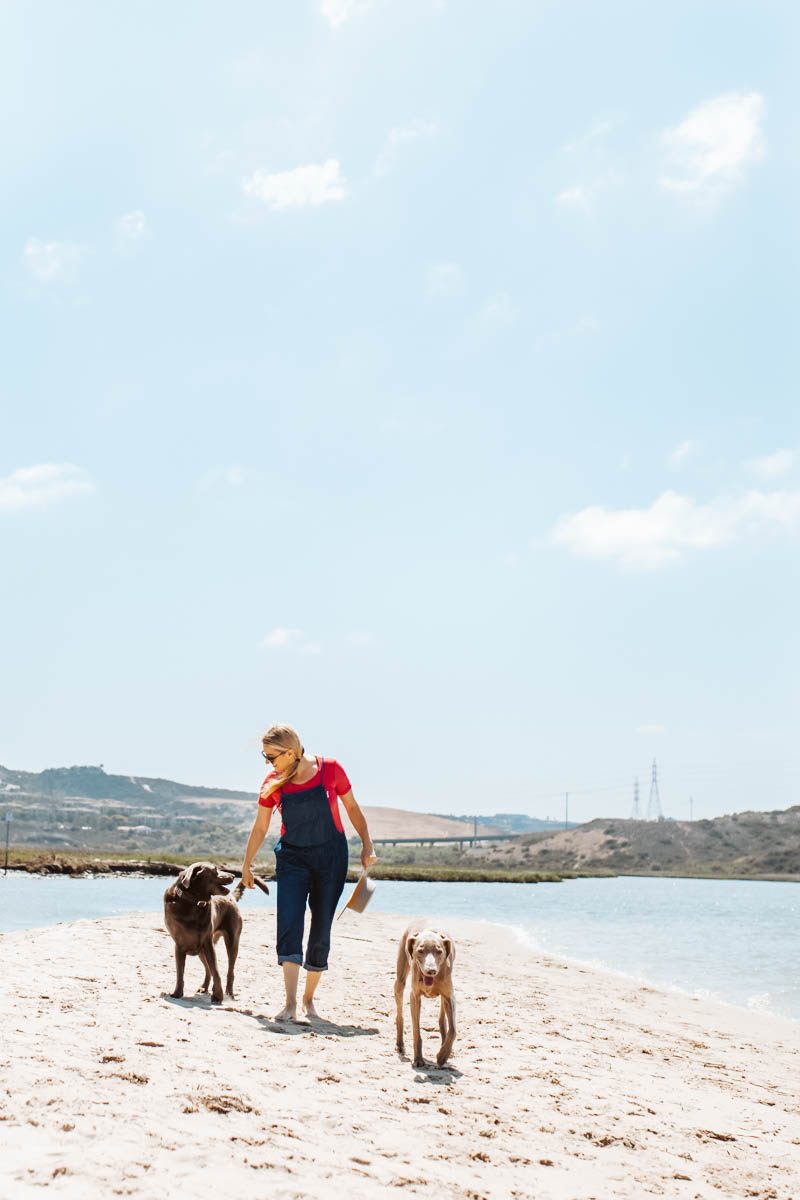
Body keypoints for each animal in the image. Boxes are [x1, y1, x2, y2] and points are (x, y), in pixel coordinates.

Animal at [163, 864, 268, 1003]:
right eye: (215, 870)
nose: (233, 875)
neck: (192, 902)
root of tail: (231, 897)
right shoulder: (179, 946)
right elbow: (180, 972)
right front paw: (177, 992)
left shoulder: (208, 943)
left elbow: (216, 970)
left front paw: (218, 994)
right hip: (202, 950)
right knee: (208, 969)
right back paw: (204, 987)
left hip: (232, 941)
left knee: (229, 971)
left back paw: (229, 993)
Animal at [395, 916, 455, 1070]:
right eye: (420, 951)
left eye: (439, 951)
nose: (431, 971)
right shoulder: (415, 996)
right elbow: (416, 1031)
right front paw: (418, 1059)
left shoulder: (449, 996)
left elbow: (453, 1030)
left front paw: (442, 1057)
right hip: (400, 981)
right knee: (400, 1015)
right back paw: (400, 1044)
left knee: (442, 1019)